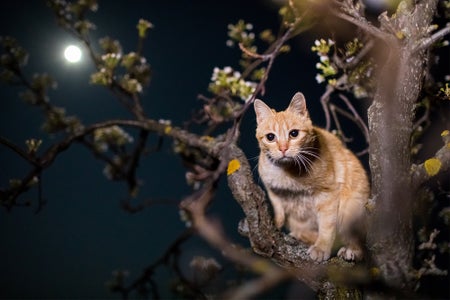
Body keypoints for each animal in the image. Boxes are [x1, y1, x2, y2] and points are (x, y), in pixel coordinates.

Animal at [253, 92, 370, 262]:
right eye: (270, 137)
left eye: (294, 133)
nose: (283, 148)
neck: (287, 173)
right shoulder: (271, 189)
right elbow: (278, 206)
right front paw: (277, 221)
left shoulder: (327, 195)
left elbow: (326, 226)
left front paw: (321, 247)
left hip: (350, 208)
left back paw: (351, 250)